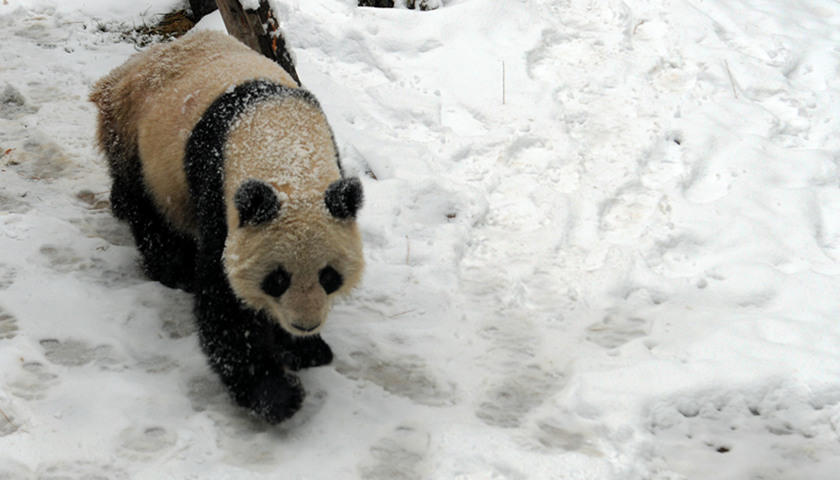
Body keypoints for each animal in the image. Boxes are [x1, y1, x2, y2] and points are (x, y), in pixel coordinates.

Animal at [90, 30, 364, 424]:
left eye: (329, 276)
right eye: (277, 279)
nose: (305, 324)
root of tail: (125, 70)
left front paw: (306, 349)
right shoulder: (219, 193)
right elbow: (225, 302)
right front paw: (276, 394)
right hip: (137, 141)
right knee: (148, 211)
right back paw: (172, 268)